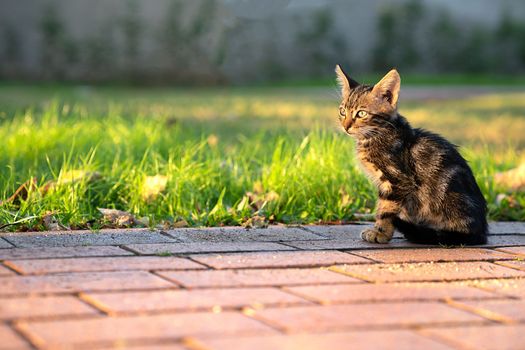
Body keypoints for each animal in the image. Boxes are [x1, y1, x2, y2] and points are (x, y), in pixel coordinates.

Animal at [336, 66, 488, 246]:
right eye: (342, 111)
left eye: (361, 114)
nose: (345, 126)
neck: (376, 134)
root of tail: (481, 232)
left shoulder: (398, 179)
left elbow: (386, 209)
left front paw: (380, 233)